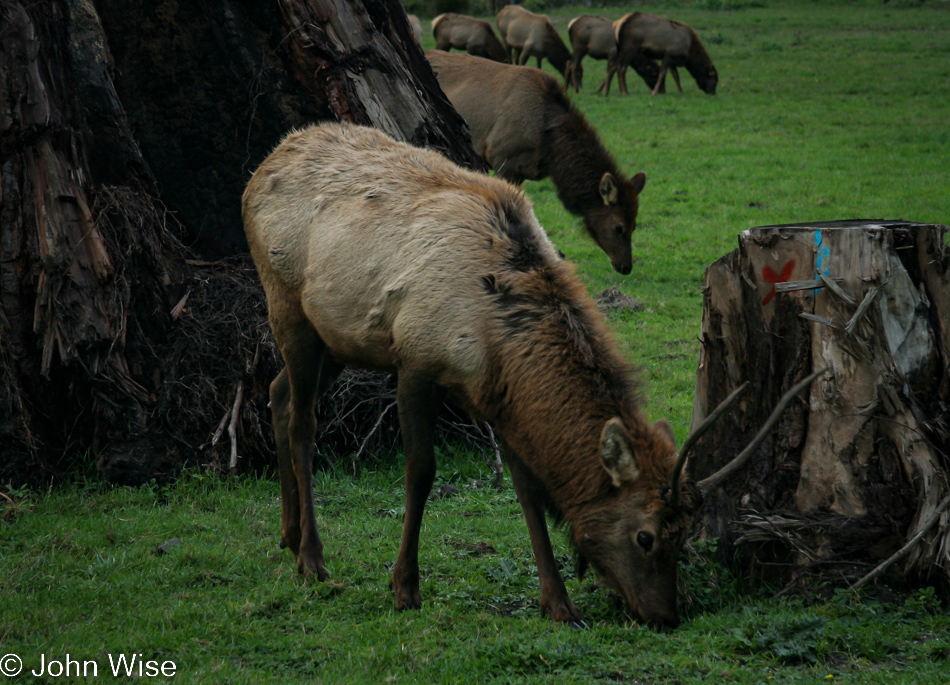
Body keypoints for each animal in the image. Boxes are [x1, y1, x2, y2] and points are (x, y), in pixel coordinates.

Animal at [247, 121, 832, 624]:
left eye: (686, 533)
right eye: (645, 536)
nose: (666, 615)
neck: (493, 332)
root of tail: (263, 165)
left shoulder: (496, 394)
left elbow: (528, 489)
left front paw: (559, 602)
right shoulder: (415, 360)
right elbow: (421, 473)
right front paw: (405, 587)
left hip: (336, 336)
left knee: (277, 393)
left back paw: (287, 532)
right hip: (287, 305)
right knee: (303, 423)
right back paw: (311, 558)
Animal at [430, 49, 648, 274]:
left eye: (635, 224)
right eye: (618, 227)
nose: (625, 266)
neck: (549, 149)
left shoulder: (520, 169)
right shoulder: (501, 157)